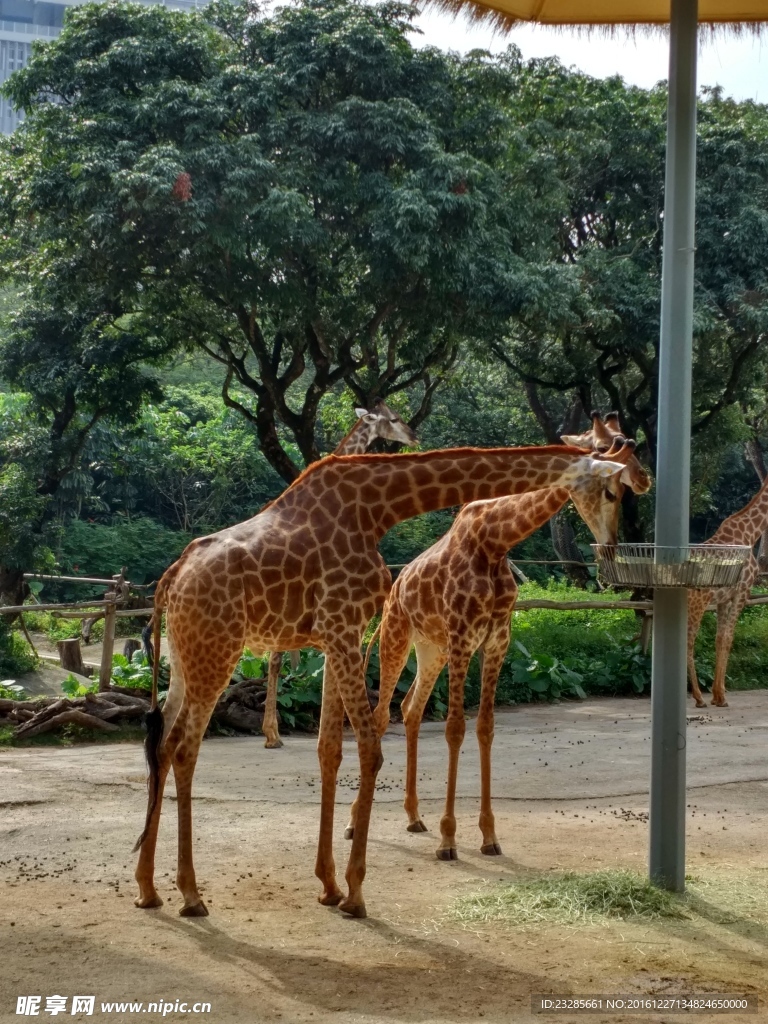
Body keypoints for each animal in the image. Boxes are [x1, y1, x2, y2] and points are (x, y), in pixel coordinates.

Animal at [138, 440, 630, 921]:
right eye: (611, 491)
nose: (609, 550)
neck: (377, 509)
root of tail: (169, 580)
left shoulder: (338, 635)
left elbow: (330, 750)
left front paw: (329, 885)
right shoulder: (343, 627)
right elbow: (371, 750)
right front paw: (356, 892)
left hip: (186, 658)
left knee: (163, 743)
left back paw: (149, 889)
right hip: (218, 652)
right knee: (185, 749)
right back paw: (191, 895)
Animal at [684, 468, 768, 704]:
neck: (751, 533)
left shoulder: (724, 599)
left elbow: (720, 638)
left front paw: (717, 694)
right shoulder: (742, 592)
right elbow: (729, 638)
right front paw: (720, 696)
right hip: (696, 603)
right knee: (688, 642)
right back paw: (697, 697)